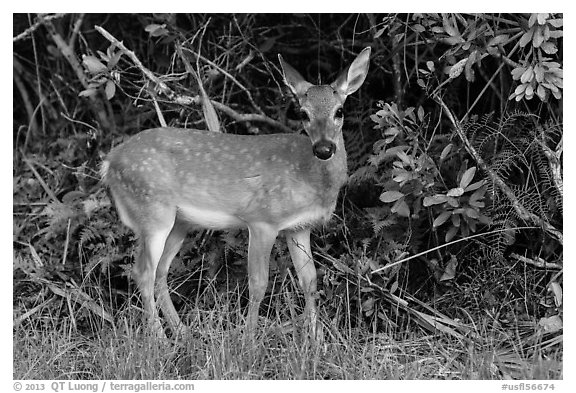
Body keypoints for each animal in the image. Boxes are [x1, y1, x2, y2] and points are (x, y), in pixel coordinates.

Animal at [101, 47, 372, 338]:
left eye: (339, 110)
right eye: (303, 113)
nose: (324, 148)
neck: (308, 176)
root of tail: (109, 162)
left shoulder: (299, 227)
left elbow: (309, 280)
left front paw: (316, 341)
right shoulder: (262, 219)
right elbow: (258, 284)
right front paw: (249, 339)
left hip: (179, 222)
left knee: (161, 271)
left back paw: (183, 334)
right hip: (151, 212)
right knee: (143, 273)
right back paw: (161, 339)